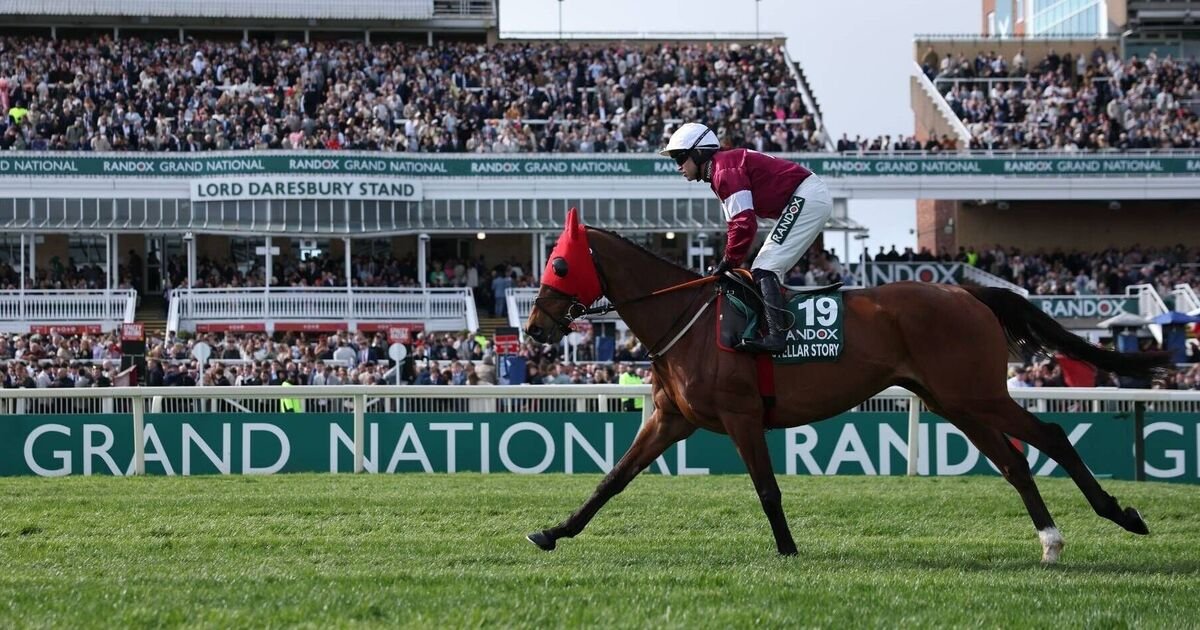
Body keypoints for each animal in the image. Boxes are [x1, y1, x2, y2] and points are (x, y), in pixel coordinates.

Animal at [522, 209, 1172, 563]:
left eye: (559, 265)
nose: (533, 330)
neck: (688, 317)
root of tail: (967, 292)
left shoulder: (740, 416)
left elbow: (767, 490)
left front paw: (788, 550)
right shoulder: (670, 418)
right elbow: (611, 480)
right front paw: (552, 531)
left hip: (977, 394)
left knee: (1053, 435)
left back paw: (1122, 515)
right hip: (954, 401)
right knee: (1014, 462)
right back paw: (1051, 541)